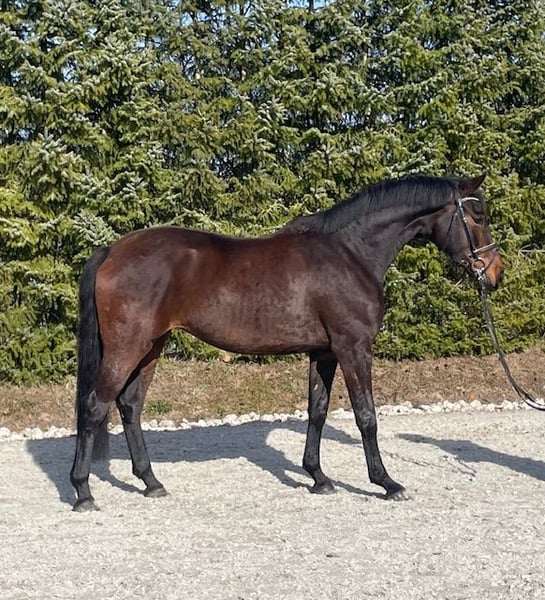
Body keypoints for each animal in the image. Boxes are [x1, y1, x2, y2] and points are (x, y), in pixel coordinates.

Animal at [70, 173, 503, 511]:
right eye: (478, 215)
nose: (494, 273)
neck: (350, 254)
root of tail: (112, 250)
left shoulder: (324, 352)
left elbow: (317, 410)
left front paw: (318, 477)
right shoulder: (353, 348)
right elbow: (366, 415)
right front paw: (387, 483)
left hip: (151, 347)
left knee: (129, 406)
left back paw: (151, 482)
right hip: (127, 348)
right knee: (94, 407)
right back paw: (83, 492)